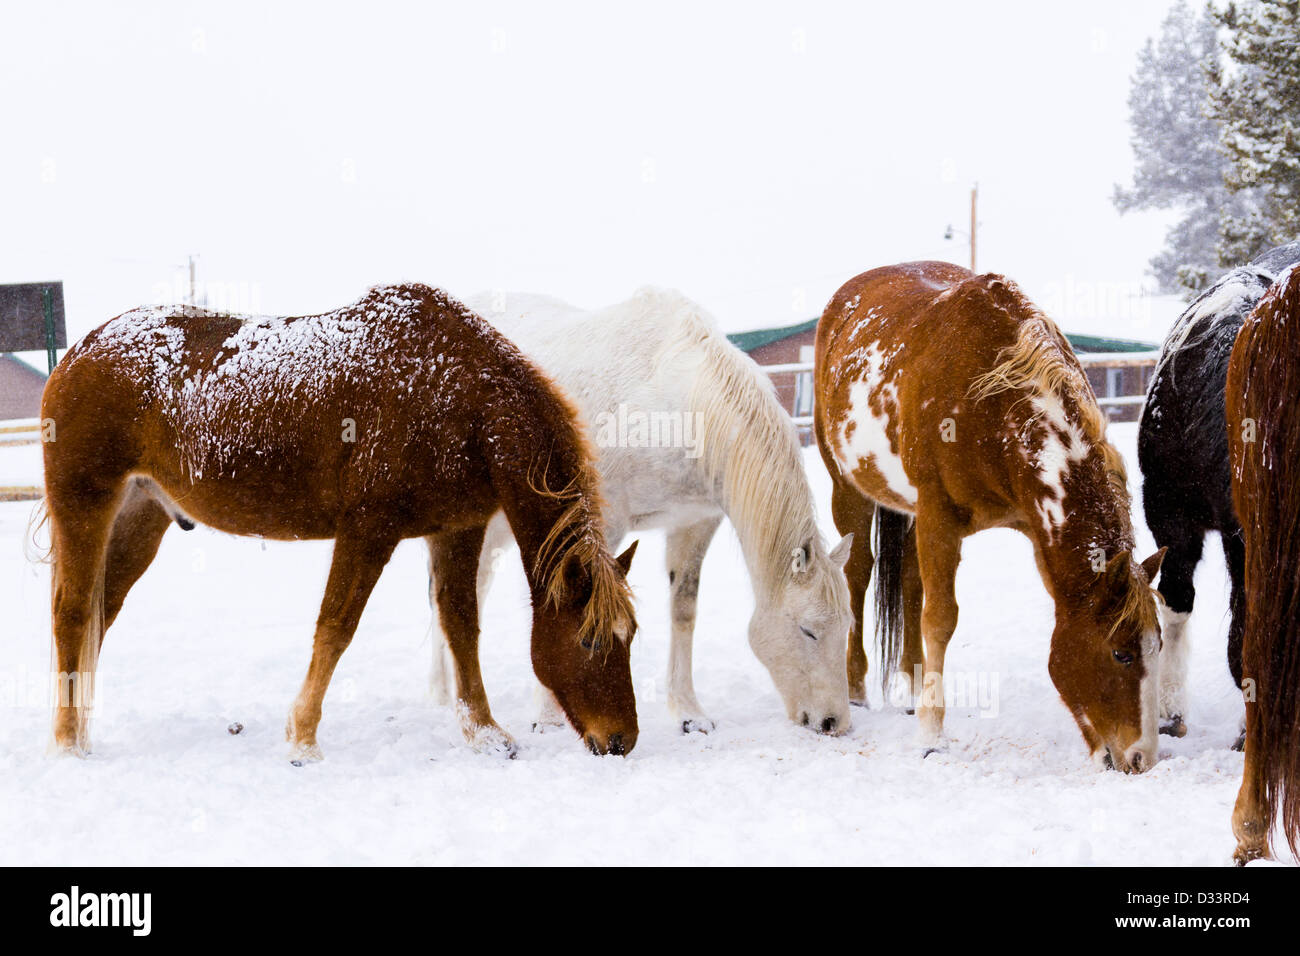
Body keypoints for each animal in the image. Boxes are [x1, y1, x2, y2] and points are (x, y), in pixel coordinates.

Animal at [40, 283, 640, 761]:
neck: (457, 396)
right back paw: (68, 743)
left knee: (102, 611)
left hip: (142, 516)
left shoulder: (456, 530)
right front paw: (302, 739)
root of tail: (79, 353)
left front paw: (485, 733)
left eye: (630, 636)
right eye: (589, 641)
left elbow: (461, 627)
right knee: (73, 614)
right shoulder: (368, 530)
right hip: (85, 503)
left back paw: (81, 732)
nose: (621, 742)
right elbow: (336, 628)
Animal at [427, 288, 854, 735]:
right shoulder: (596, 524)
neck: (673, 406)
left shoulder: (694, 521)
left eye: (847, 627)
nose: (833, 721)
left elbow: (683, 611)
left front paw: (688, 713)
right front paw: (548, 718)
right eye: (808, 631)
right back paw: (444, 695)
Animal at [815, 261, 1165, 771]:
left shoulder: (1034, 530)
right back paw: (857, 687)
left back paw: (911, 688)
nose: (1142, 757)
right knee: (858, 574)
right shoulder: (939, 515)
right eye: (1120, 653)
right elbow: (940, 619)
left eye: (1158, 646)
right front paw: (931, 736)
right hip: (848, 489)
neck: (992, 401)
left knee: (910, 582)